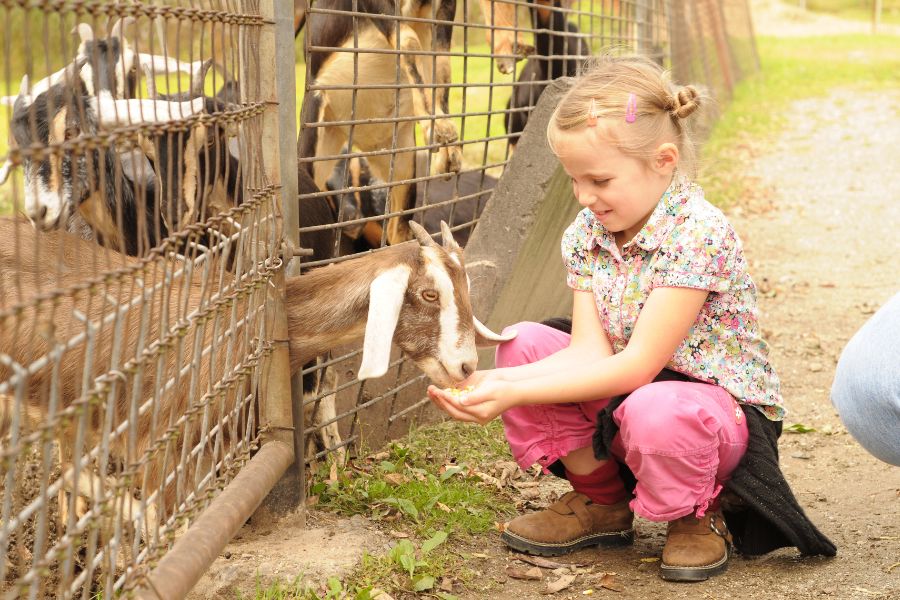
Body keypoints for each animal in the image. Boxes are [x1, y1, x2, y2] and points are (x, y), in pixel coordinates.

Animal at [298, 0, 464, 246]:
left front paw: (448, 148)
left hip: (399, 162)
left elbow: (442, 66)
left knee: (399, 230)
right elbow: (409, 42)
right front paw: (440, 131)